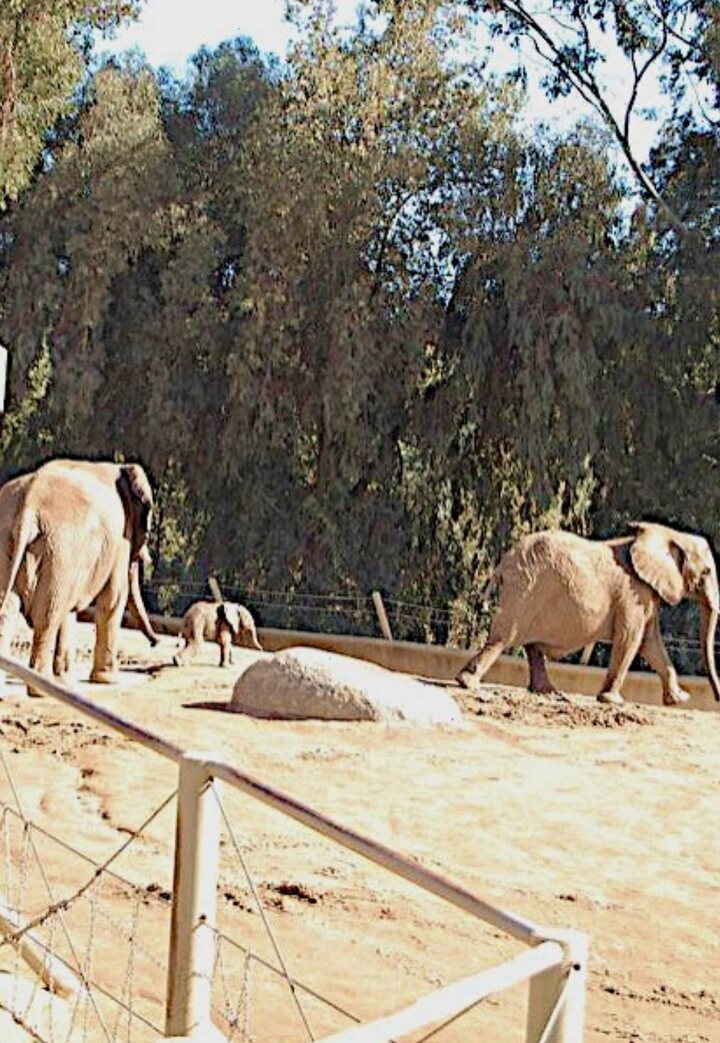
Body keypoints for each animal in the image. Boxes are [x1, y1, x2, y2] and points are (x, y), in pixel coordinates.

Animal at [0, 458, 159, 691]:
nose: (155, 643)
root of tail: (27, 508)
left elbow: (69, 610)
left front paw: (65, 681)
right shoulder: (120, 541)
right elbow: (113, 598)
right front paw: (108, 680)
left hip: (18, 546)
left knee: (10, 610)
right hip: (59, 550)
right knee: (47, 616)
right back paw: (41, 689)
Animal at [456, 522, 720, 706]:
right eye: (707, 571)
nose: (717, 698)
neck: (668, 534)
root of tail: (503, 563)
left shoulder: (645, 594)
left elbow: (650, 642)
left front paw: (680, 699)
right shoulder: (633, 593)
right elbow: (631, 639)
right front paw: (612, 701)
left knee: (531, 645)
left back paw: (548, 692)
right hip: (524, 589)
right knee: (503, 637)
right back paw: (466, 683)